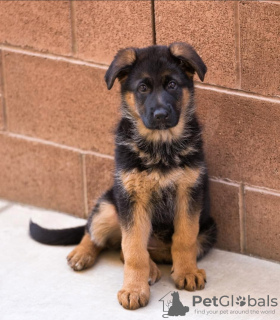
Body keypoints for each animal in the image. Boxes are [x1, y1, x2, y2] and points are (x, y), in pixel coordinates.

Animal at [31, 42, 219, 310]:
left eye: (172, 85)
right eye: (142, 88)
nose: (161, 115)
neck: (160, 146)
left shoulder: (188, 195)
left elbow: (184, 238)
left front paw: (187, 272)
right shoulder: (132, 199)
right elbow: (133, 250)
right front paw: (134, 289)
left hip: (209, 230)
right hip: (111, 206)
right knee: (97, 233)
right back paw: (83, 254)